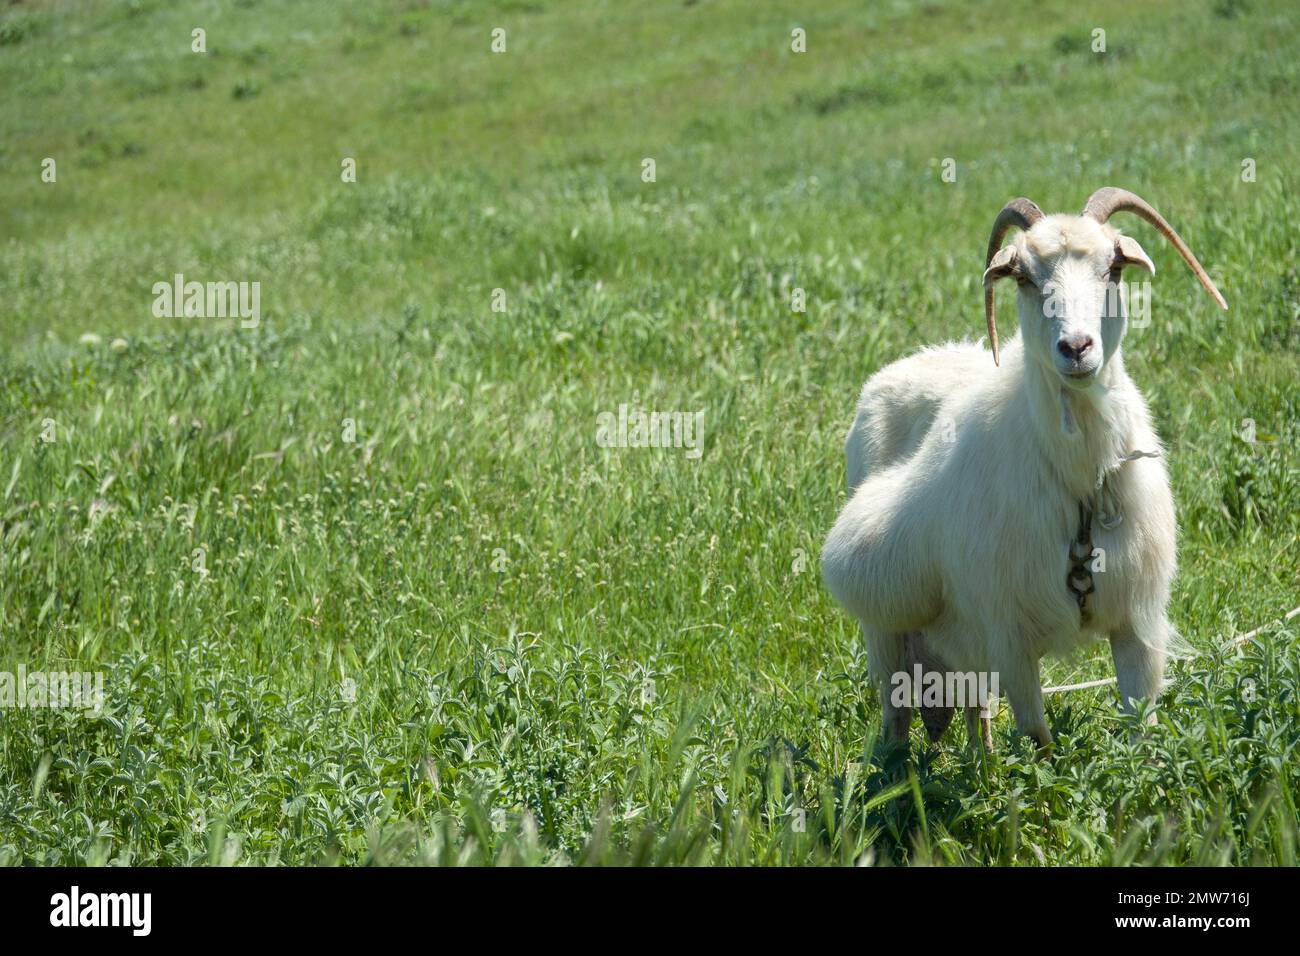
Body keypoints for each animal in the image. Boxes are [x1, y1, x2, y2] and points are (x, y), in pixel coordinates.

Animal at [822, 188, 1227, 751]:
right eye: (1025, 277)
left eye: (1113, 268)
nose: (1076, 348)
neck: (1080, 482)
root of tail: (915, 360)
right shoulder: (1010, 636)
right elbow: (1038, 741)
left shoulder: (1135, 626)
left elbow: (1141, 736)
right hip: (887, 625)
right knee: (896, 714)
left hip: (965, 643)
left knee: (976, 712)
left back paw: (982, 764)